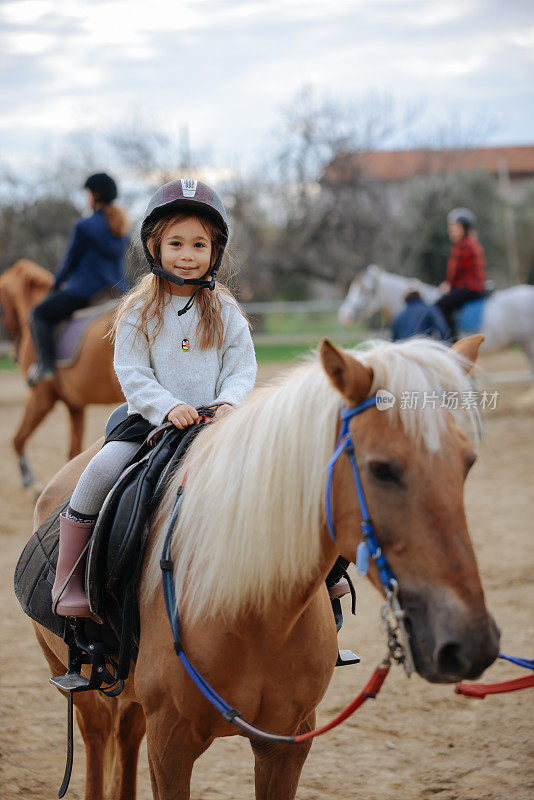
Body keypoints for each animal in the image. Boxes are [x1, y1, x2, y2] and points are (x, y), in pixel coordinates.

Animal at [0, 260, 123, 488]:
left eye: (2, 308)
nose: (14, 353)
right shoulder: (75, 405)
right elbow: (73, 454)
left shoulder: (42, 397)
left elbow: (18, 439)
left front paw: (30, 481)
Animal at [32, 336, 502, 800]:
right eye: (381, 469)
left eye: (468, 463)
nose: (471, 643)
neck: (252, 612)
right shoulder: (170, 746)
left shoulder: (287, 743)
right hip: (74, 681)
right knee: (97, 739)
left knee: (126, 736)